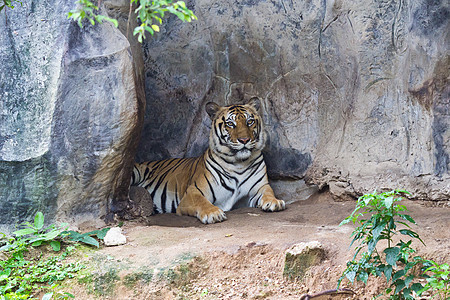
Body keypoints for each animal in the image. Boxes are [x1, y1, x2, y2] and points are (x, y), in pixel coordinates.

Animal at [130, 97, 284, 224]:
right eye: (230, 124)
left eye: (249, 121)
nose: (244, 140)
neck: (238, 163)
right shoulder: (193, 192)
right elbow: (202, 202)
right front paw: (213, 213)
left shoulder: (260, 187)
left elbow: (268, 192)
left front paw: (274, 202)